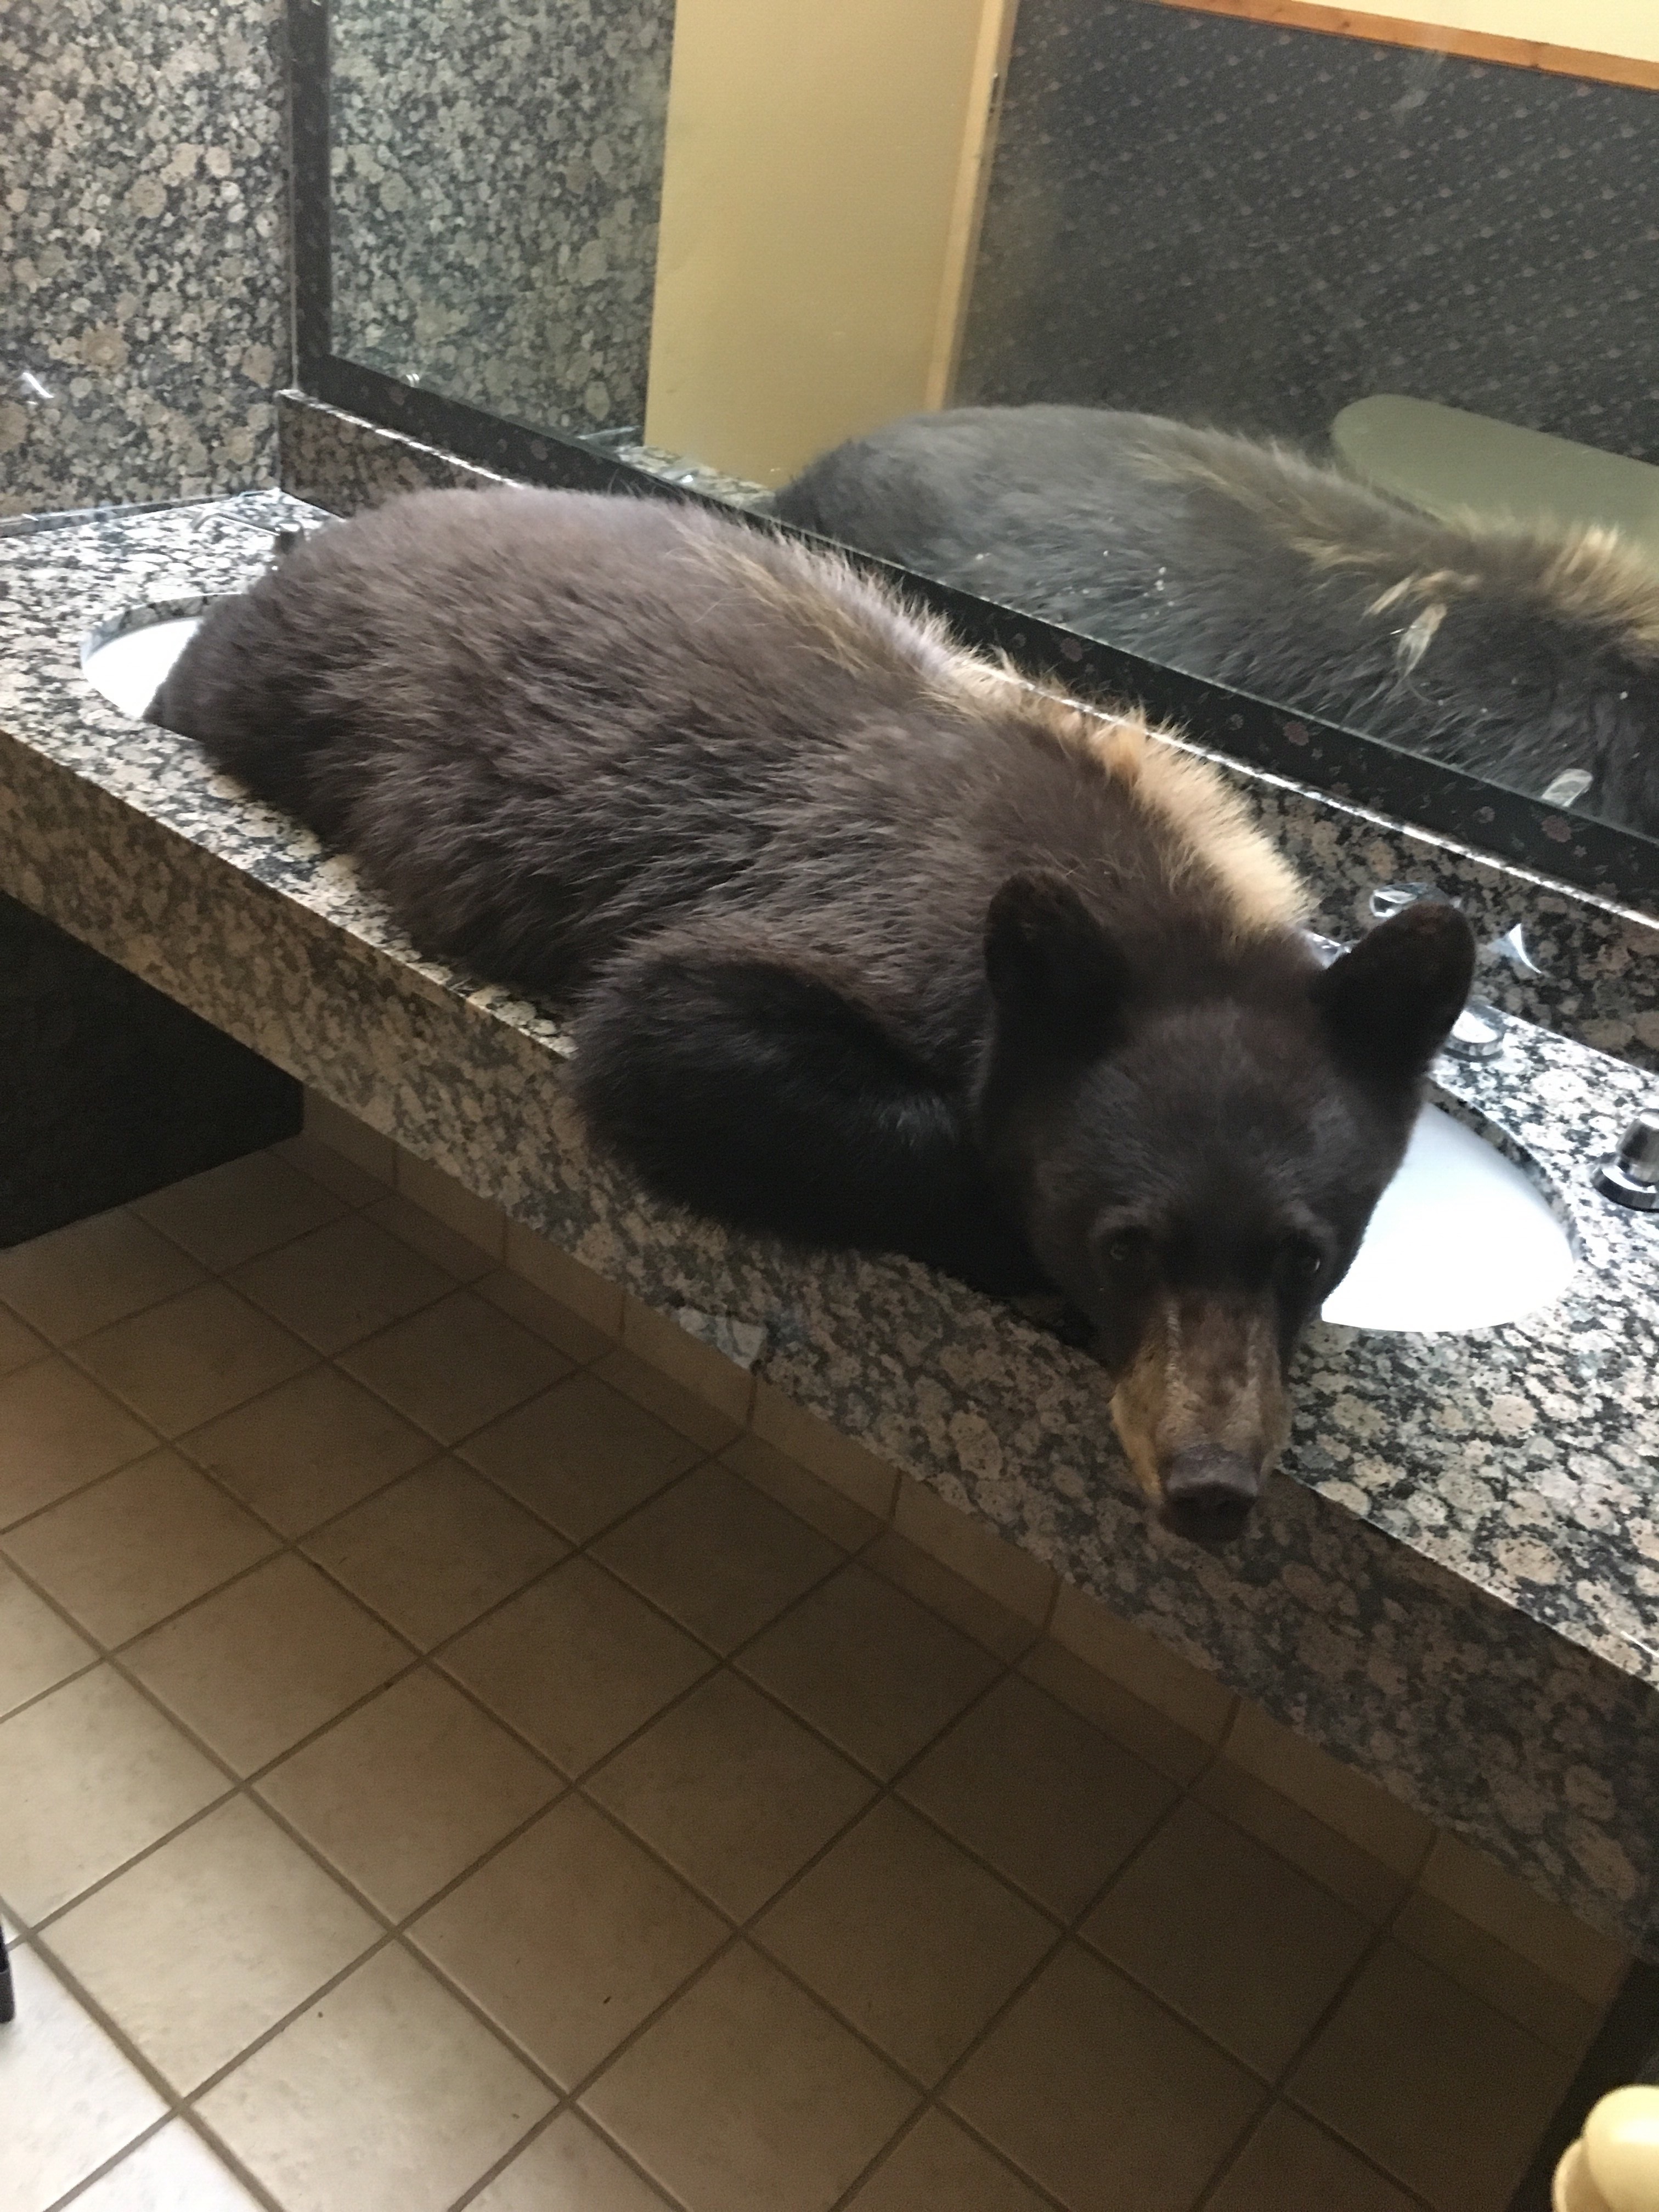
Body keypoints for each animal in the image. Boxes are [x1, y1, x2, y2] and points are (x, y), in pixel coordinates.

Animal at [156, 489, 1477, 1539]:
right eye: (1123, 1242)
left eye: (1308, 1252)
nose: (1208, 1487)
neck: (1155, 898)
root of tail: (349, 524)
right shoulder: (867, 910)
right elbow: (664, 1030)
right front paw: (1005, 1239)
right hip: (283, 682)